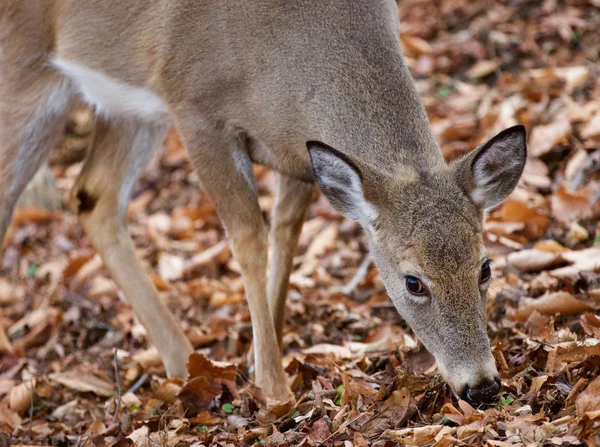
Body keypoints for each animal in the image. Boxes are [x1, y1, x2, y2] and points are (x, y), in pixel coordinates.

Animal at [0, 0, 524, 406]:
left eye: (485, 267)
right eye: (413, 282)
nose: (481, 386)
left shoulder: (298, 155)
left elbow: (285, 233)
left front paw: (257, 359)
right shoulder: (195, 107)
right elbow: (249, 239)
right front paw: (273, 388)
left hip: (127, 107)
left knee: (94, 194)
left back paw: (182, 364)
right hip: (25, 73)